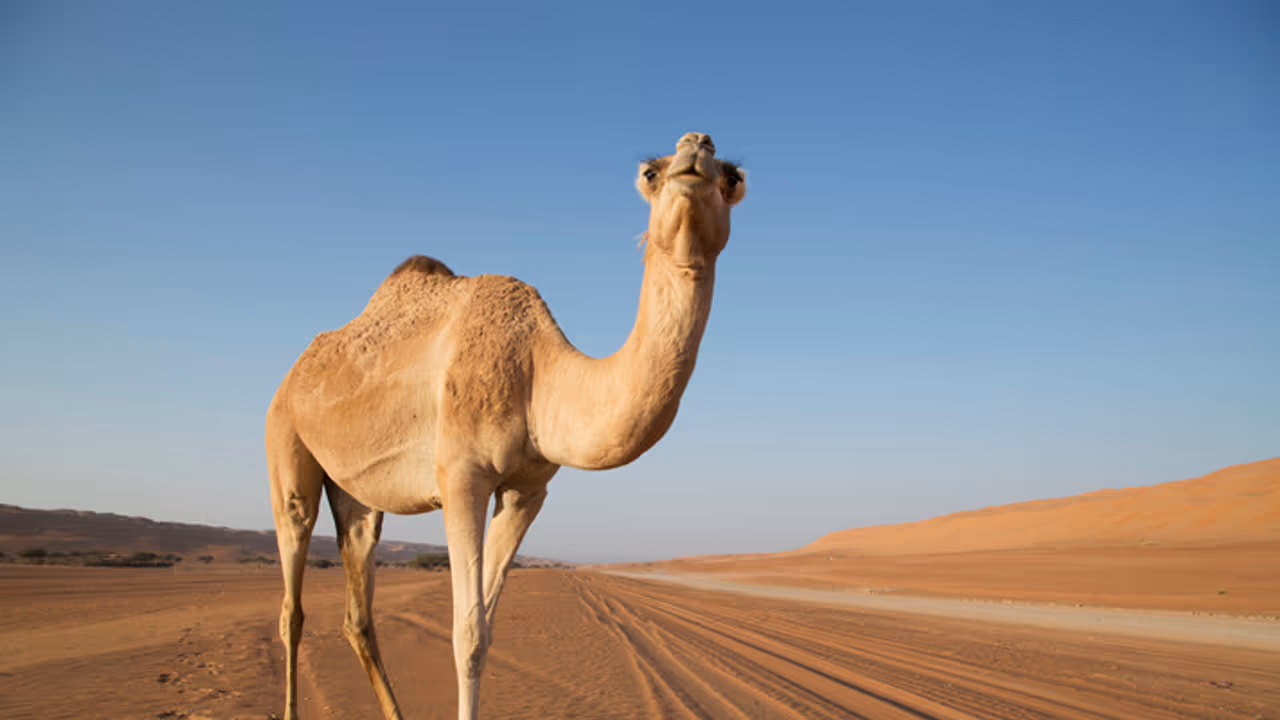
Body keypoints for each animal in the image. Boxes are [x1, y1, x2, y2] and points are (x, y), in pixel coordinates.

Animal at [265, 132, 747, 720]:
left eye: (733, 177)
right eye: (650, 173)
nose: (695, 148)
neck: (538, 372)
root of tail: (293, 374)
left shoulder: (526, 490)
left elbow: (486, 630)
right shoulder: (461, 477)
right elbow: (465, 633)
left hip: (357, 494)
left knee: (358, 601)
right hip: (285, 438)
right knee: (291, 594)